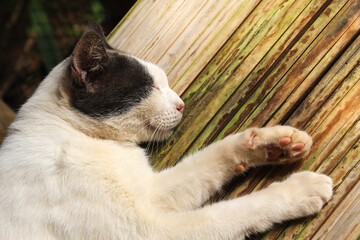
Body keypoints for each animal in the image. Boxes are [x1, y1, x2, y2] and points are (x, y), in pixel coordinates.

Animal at [0, 23, 332, 240]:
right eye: (151, 87)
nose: (181, 104)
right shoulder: (148, 231)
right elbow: (231, 212)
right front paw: (299, 190)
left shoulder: (150, 193)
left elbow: (212, 157)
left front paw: (275, 143)